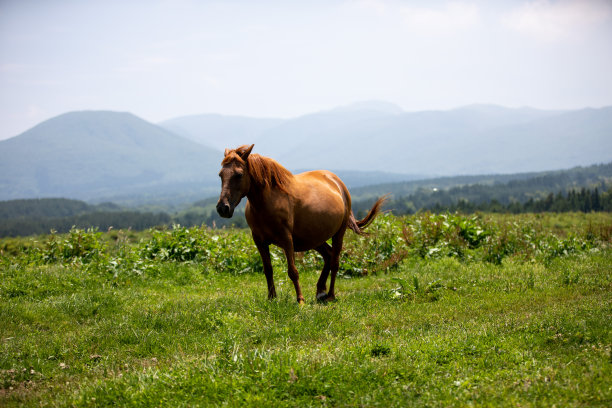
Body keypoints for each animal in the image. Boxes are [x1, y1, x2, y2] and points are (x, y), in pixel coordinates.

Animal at [218, 144, 384, 302]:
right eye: (221, 175)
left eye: (239, 175)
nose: (222, 208)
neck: (268, 202)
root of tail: (338, 183)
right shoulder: (259, 241)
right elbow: (268, 270)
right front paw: (272, 298)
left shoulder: (286, 239)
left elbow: (293, 271)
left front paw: (300, 300)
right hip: (315, 238)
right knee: (328, 255)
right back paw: (320, 292)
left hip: (339, 233)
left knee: (335, 262)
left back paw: (330, 295)